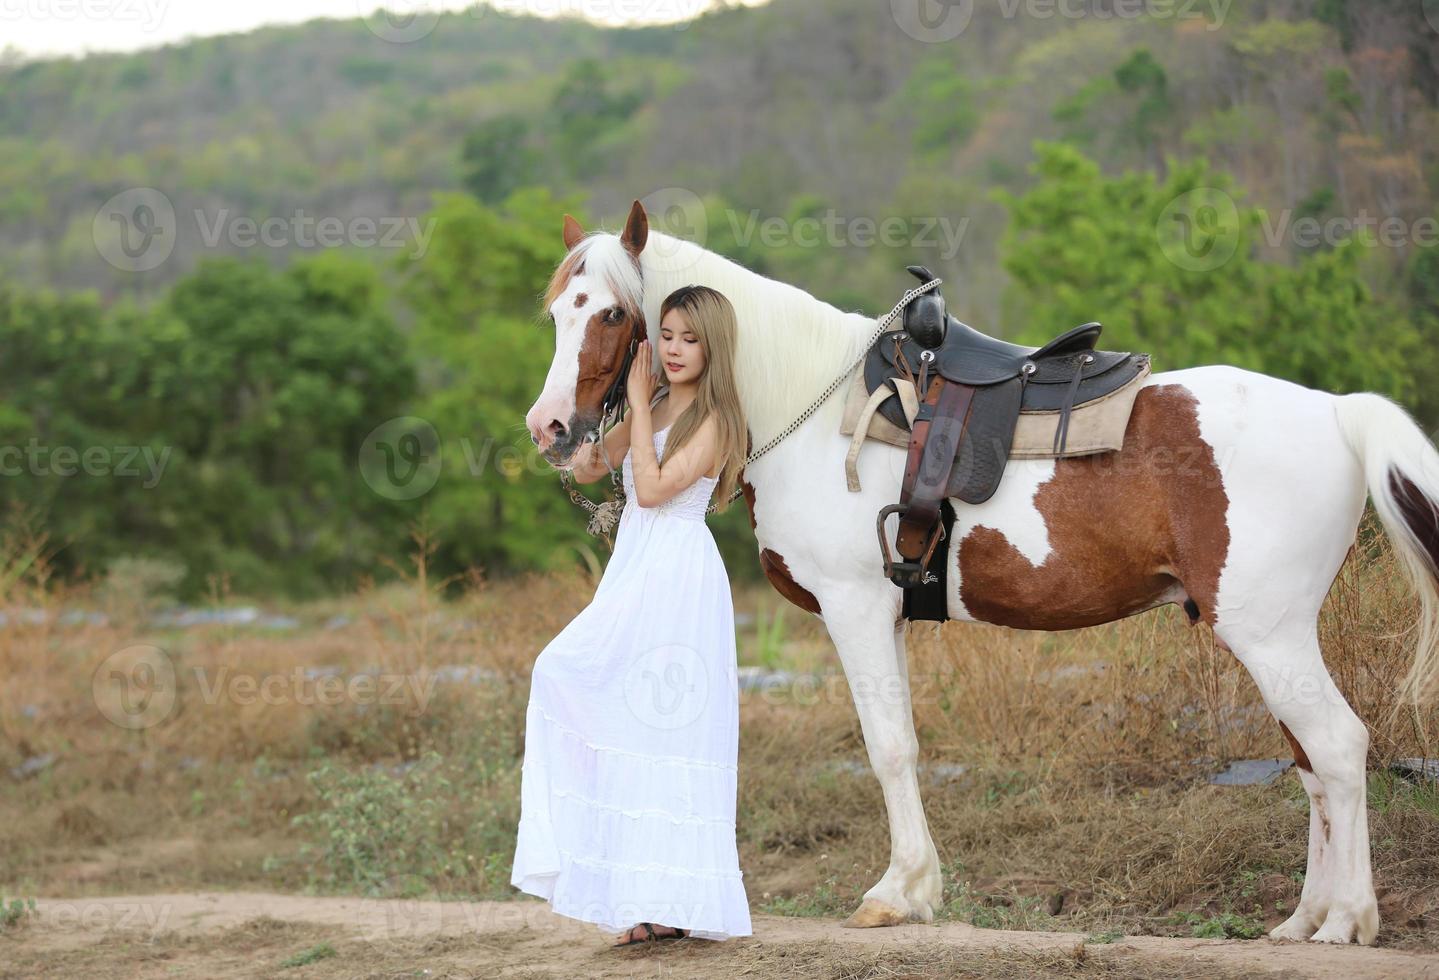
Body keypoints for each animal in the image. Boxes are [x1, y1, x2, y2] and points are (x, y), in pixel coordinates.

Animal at [526, 197, 1439, 938]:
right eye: (556, 314)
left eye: (611, 314)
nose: (550, 428)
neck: (818, 408)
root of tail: (1335, 411)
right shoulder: (887, 614)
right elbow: (902, 742)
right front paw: (917, 890)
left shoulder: (855, 608)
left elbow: (888, 748)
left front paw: (894, 893)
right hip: (1272, 634)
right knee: (1312, 765)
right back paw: (1304, 918)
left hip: (1266, 633)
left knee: (1338, 747)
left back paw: (1347, 920)